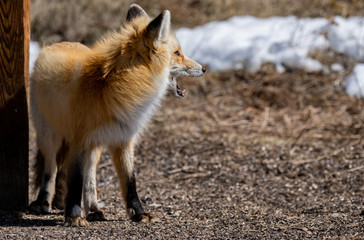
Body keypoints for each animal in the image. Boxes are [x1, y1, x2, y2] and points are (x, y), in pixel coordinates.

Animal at [28, 3, 205, 226]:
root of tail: (57, 44)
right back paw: (43, 202)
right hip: (49, 137)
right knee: (51, 170)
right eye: (178, 52)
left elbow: (129, 182)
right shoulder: (79, 139)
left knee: (90, 177)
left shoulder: (124, 138)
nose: (204, 69)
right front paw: (74, 215)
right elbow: (74, 181)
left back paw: (94, 209)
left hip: (95, 147)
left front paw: (138, 213)